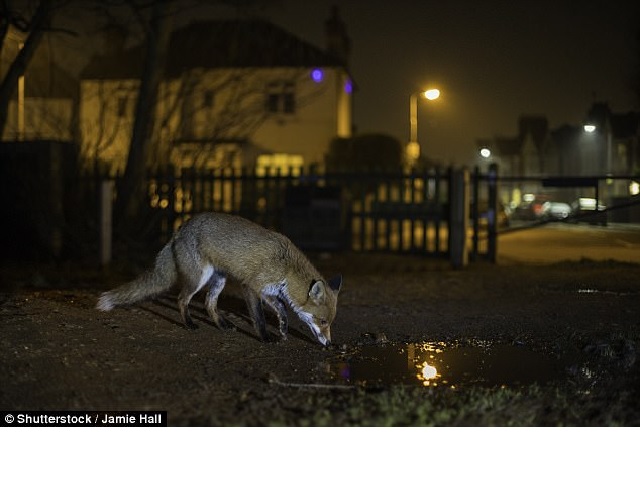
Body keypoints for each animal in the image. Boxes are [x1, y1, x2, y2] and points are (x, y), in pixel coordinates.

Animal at [95, 213, 342, 344]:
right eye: (323, 322)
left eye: (329, 323)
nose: (329, 344)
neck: (286, 267)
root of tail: (180, 229)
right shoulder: (250, 286)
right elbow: (259, 318)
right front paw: (265, 337)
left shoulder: (269, 291)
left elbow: (281, 308)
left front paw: (283, 329)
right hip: (199, 278)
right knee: (182, 299)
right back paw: (189, 324)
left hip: (219, 280)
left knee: (208, 303)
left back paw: (222, 325)